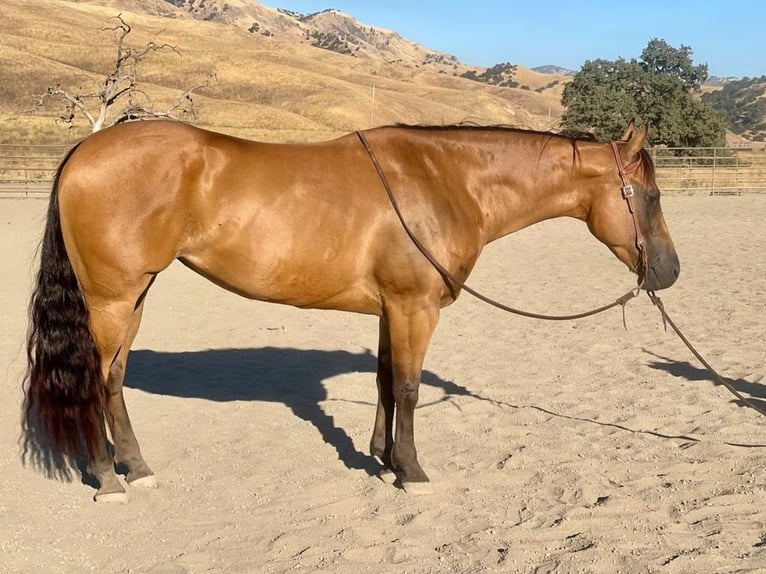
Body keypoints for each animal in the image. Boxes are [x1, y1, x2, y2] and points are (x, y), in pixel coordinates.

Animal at [22, 120, 679, 502]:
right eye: (649, 196)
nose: (670, 273)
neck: (443, 180)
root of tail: (84, 151)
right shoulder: (416, 308)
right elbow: (410, 387)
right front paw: (411, 471)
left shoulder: (394, 309)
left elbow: (387, 381)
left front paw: (383, 460)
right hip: (111, 298)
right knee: (97, 381)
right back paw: (110, 479)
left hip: (133, 298)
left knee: (114, 380)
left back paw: (135, 466)